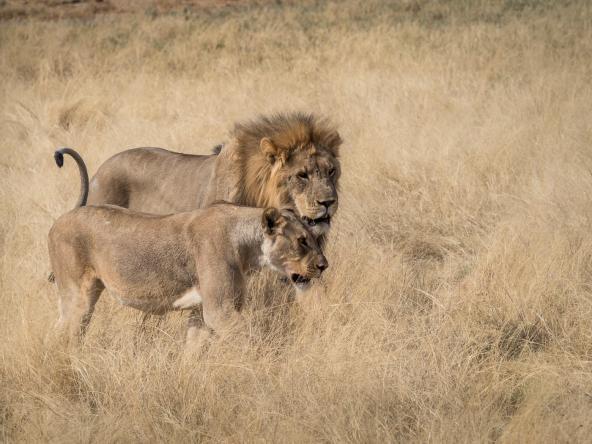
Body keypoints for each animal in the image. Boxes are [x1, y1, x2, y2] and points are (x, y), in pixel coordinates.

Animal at [49, 151, 328, 342]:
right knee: (59, 335)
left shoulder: (203, 310)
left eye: (314, 238)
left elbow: (193, 351)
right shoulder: (220, 310)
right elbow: (252, 341)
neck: (249, 249)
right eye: (302, 240)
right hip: (77, 297)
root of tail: (64, 216)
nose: (324, 265)